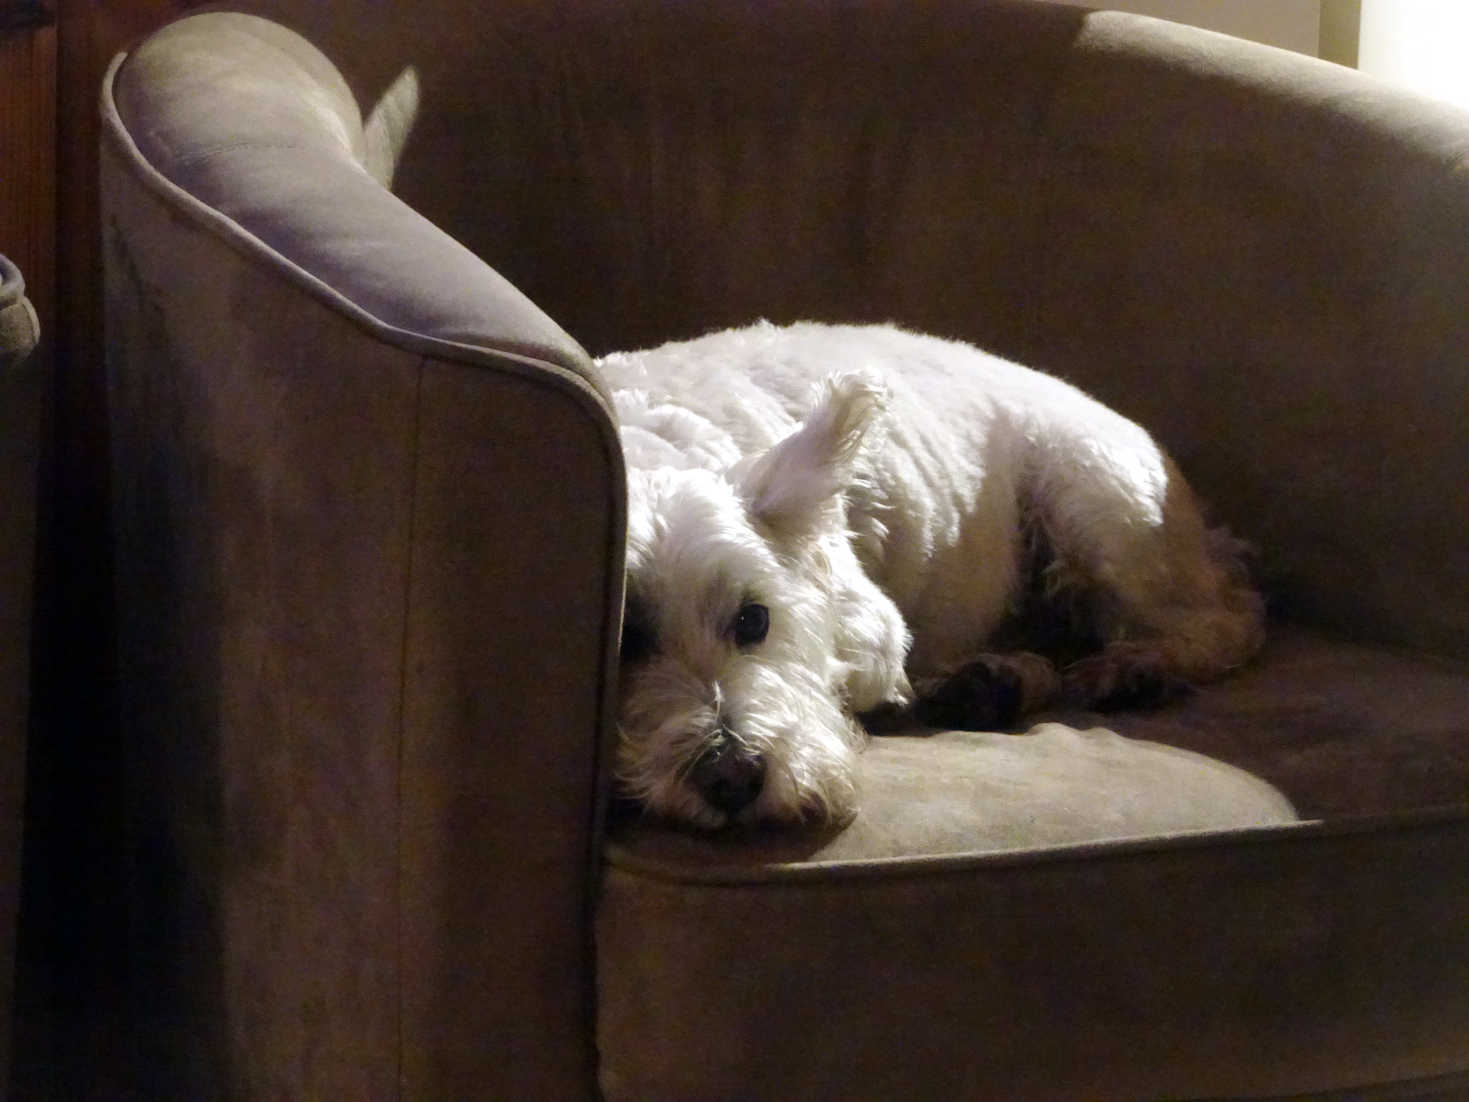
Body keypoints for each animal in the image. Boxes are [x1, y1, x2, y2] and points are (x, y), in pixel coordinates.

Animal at [596, 323, 1263, 834]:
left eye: (753, 618)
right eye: (623, 638)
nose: (733, 778)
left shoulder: (875, 630)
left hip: (1097, 498)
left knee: (1225, 619)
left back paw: (1132, 668)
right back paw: (994, 681)